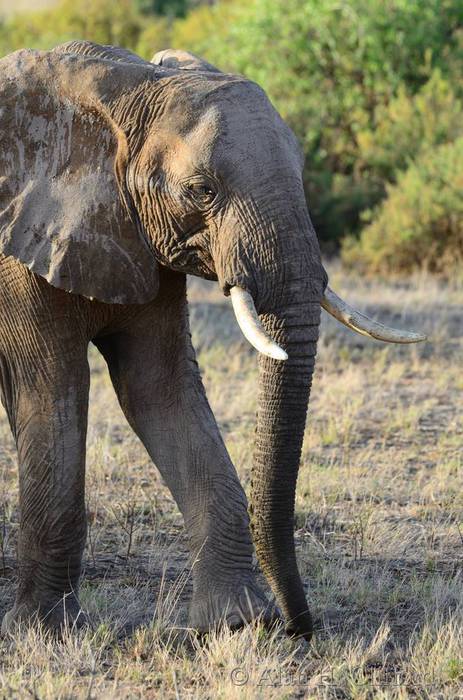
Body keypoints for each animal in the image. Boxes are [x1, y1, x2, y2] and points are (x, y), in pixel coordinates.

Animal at [0, 41, 425, 641]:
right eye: (203, 190)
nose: (301, 627)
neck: (124, 92)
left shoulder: (142, 239)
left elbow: (160, 389)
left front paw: (237, 624)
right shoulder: (18, 251)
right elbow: (51, 389)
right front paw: (45, 631)